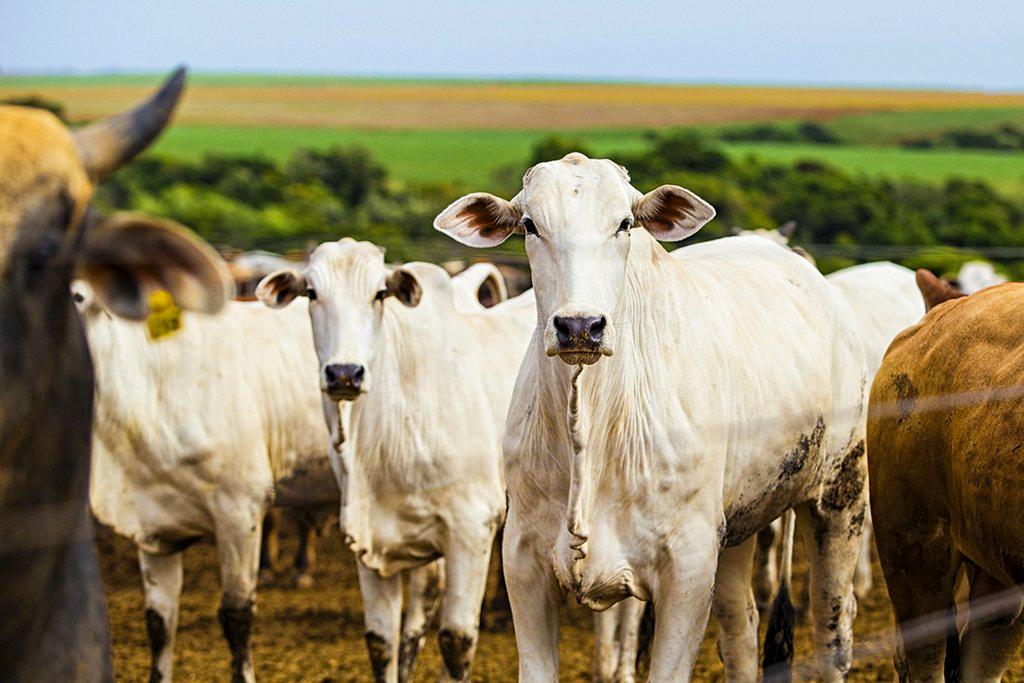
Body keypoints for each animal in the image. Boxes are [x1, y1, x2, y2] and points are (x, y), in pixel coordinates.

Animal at [256, 240, 536, 683]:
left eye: (380, 293)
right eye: (311, 293)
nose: (344, 374)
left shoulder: (471, 530)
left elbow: (456, 642)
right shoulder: (369, 539)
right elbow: (382, 642)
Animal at [436, 154, 868, 683]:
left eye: (624, 223)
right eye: (530, 225)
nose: (580, 326)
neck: (592, 425)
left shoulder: (688, 568)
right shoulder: (523, 562)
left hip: (839, 494)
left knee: (832, 629)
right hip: (737, 524)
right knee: (741, 628)